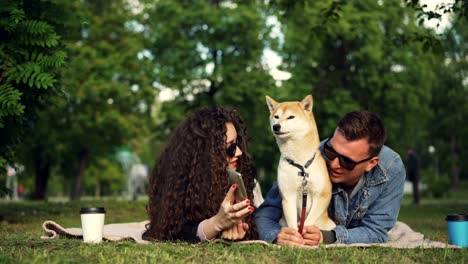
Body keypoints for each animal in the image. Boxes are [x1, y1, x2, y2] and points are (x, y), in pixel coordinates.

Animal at [266, 95, 334, 231]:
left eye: (291, 117)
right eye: (276, 116)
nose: (276, 126)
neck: (300, 165)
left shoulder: (322, 194)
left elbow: (307, 223)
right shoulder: (288, 196)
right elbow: (293, 225)